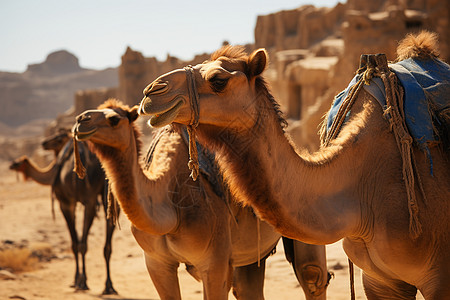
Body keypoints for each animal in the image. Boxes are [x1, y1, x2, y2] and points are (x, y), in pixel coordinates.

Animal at [9, 141, 118, 296]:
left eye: (18, 162)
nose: (11, 164)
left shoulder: (70, 202)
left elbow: (78, 243)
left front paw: (80, 281)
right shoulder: (69, 203)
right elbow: (74, 243)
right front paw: (76, 280)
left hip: (92, 198)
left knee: (87, 242)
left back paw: (90, 283)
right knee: (107, 235)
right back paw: (108, 286)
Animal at [71, 99, 330, 300]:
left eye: (114, 119)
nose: (81, 119)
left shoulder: (213, 262)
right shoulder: (156, 262)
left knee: (312, 273)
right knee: (247, 287)